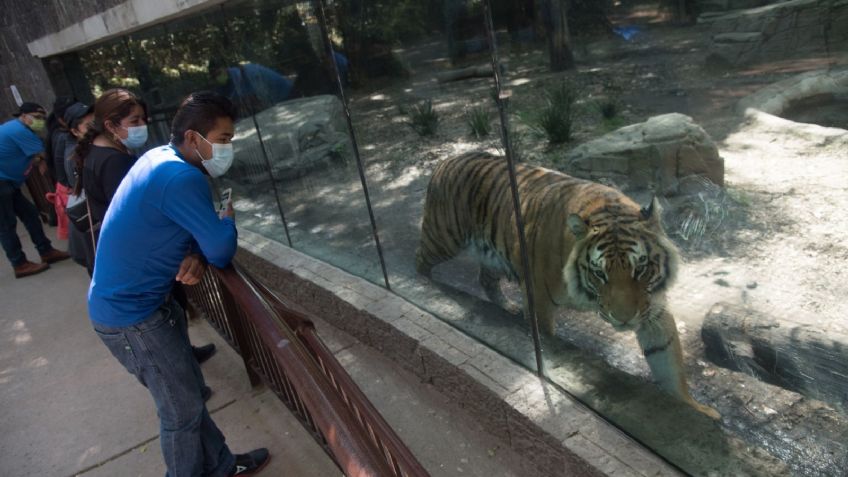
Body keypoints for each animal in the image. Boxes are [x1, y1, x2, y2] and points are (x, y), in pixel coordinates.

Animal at [414, 151, 720, 418]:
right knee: (420, 261)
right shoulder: (538, 298)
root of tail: (447, 160)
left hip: (490, 255)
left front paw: (696, 409)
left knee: (485, 279)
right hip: (442, 238)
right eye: (600, 273)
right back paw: (421, 286)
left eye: (641, 268)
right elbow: (545, 338)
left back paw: (507, 306)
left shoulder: (652, 306)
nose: (623, 319)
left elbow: (668, 360)